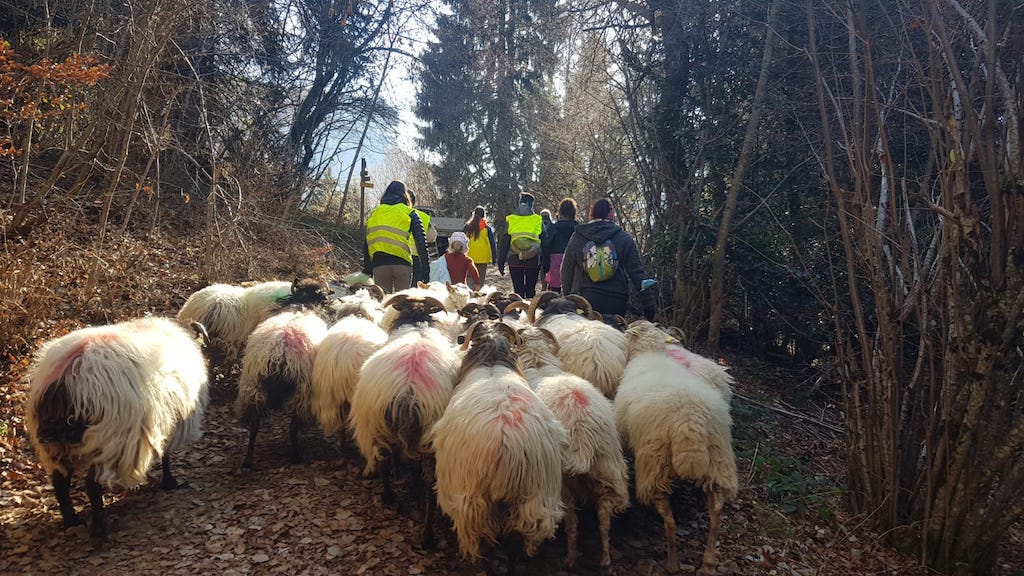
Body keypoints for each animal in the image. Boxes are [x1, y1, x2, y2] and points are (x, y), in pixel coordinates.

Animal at [24, 315, 209, 545]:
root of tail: (67, 375)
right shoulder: (170, 420)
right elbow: (166, 454)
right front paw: (169, 482)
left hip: (59, 447)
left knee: (60, 482)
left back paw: (71, 521)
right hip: (108, 439)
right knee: (92, 485)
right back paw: (99, 531)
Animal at [233, 307, 325, 469]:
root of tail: (281, 350)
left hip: (253, 389)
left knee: (254, 425)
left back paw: (248, 460)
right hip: (300, 394)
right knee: (293, 427)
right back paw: (296, 457)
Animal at [516, 325, 626, 565]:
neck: (539, 364)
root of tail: (584, 436)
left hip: (563, 480)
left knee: (572, 521)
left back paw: (569, 558)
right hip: (609, 470)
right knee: (604, 516)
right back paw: (605, 558)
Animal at [614, 319, 737, 569]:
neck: (651, 353)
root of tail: (690, 422)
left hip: (654, 463)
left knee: (670, 521)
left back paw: (672, 564)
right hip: (719, 460)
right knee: (717, 510)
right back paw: (708, 562)